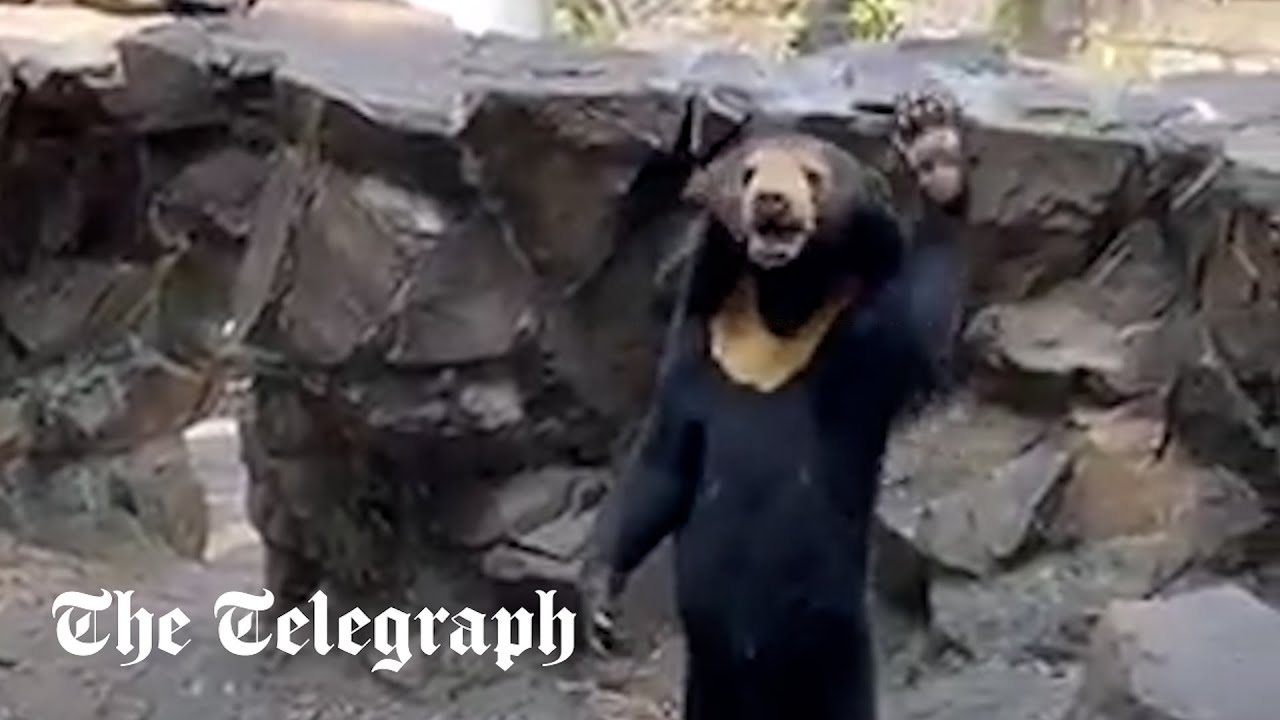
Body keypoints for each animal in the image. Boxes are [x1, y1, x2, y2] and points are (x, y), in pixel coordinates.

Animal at [580, 89, 972, 720]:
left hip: (834, 654)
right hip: (709, 676)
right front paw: (596, 606)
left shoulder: (864, 343)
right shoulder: (701, 344)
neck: (780, 305)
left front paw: (934, 146)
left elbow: (926, 329)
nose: (771, 202)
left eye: (812, 176)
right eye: (748, 174)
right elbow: (664, 461)